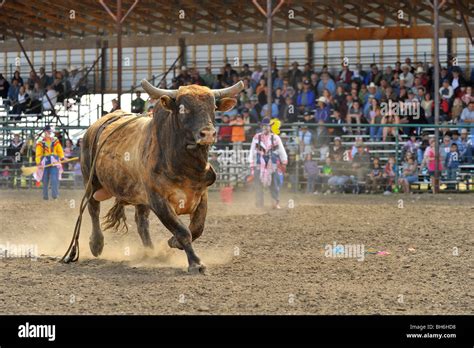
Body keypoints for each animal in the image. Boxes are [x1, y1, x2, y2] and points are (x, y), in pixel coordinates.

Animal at [81, 80, 243, 274]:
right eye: (183, 108)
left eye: (213, 107)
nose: (208, 134)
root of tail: (93, 128)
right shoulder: (158, 200)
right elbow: (183, 231)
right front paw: (196, 263)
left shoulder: (201, 195)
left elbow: (197, 228)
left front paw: (173, 242)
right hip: (90, 181)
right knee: (93, 209)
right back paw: (96, 244)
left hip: (139, 197)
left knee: (141, 222)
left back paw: (151, 253)